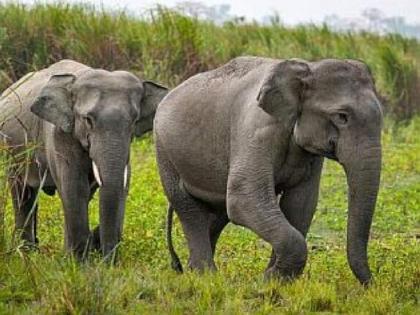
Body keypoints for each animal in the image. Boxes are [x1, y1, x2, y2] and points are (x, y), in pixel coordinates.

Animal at [0, 60, 167, 260]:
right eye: (88, 120)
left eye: (133, 122)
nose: (107, 261)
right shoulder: (60, 133)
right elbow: (74, 187)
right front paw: (77, 261)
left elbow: (114, 187)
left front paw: (76, 257)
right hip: (12, 151)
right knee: (22, 194)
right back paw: (27, 253)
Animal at [155, 56, 384, 286]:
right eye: (342, 116)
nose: (372, 285)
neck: (307, 67)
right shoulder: (256, 130)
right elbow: (244, 199)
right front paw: (267, 280)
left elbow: (300, 205)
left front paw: (273, 280)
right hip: (165, 152)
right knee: (189, 208)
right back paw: (205, 276)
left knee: (218, 212)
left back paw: (196, 271)